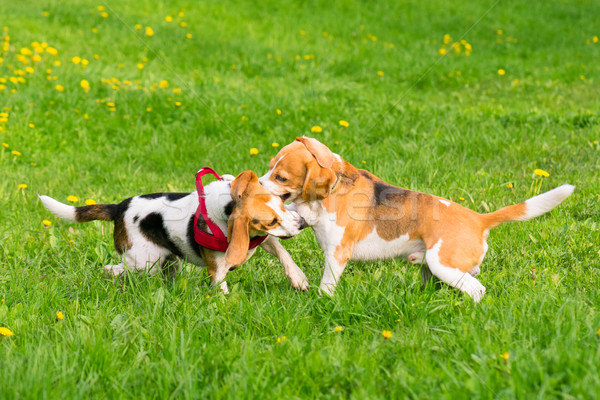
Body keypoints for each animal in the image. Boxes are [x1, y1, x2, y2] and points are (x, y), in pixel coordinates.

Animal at [39, 170, 310, 292]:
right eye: (271, 221)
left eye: (282, 203)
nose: (300, 223)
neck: (229, 203)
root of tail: (119, 208)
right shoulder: (217, 270)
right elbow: (221, 287)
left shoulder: (259, 240)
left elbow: (283, 253)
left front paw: (298, 278)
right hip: (144, 262)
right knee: (113, 269)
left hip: (171, 261)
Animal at [260, 136, 576, 302]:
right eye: (269, 167)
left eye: (281, 177)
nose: (257, 184)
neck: (336, 184)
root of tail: (479, 218)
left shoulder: (336, 254)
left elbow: (326, 285)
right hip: (438, 268)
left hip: (442, 264)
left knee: (477, 289)